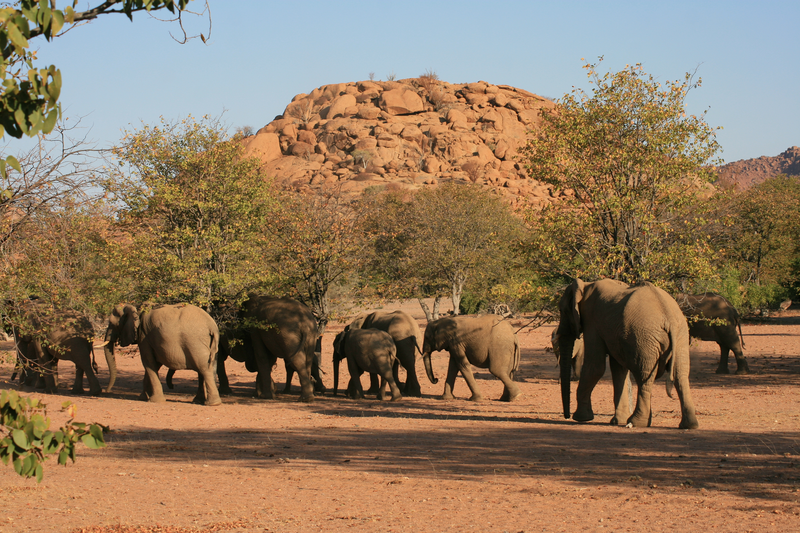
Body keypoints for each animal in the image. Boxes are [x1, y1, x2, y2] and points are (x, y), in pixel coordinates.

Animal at [560, 278, 696, 428]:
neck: (585, 285)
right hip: (680, 335)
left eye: (563, 311)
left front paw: (581, 418)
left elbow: (595, 367)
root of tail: (668, 317)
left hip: (644, 337)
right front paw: (618, 421)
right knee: (680, 375)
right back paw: (689, 425)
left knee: (644, 376)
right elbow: (619, 370)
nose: (567, 416)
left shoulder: (592, 322)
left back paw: (636, 422)